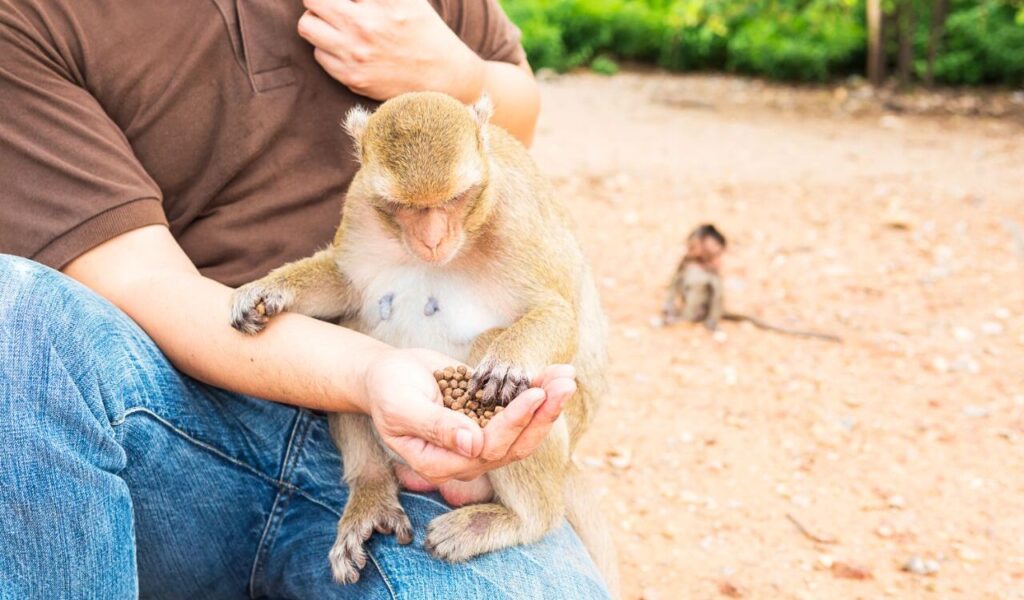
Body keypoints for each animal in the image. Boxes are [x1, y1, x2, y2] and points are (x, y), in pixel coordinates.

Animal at [662, 224, 842, 343]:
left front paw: (712, 324)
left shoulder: (713, 270)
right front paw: (668, 307)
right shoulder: (686, 260)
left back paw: (681, 318)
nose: (719, 260)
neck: (699, 262)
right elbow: (676, 280)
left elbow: (716, 290)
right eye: (716, 252)